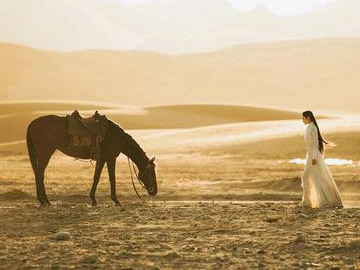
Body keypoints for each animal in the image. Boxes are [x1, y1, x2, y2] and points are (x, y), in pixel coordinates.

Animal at [26, 113, 158, 205]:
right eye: (151, 172)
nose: (154, 191)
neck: (117, 137)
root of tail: (32, 123)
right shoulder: (110, 158)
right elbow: (111, 178)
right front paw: (115, 200)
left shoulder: (102, 158)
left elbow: (97, 177)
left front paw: (93, 199)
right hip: (45, 153)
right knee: (39, 173)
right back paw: (42, 200)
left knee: (40, 174)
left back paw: (46, 200)